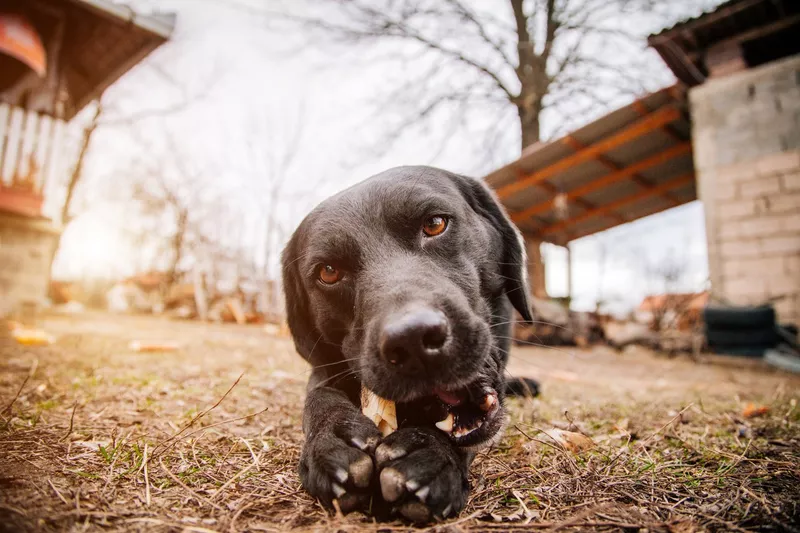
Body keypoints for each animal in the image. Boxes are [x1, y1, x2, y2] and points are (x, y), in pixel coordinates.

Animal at [282, 165, 536, 520]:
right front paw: (330, 438)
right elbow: (318, 394)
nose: (412, 339)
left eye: (435, 224)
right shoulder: (324, 368)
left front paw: (429, 451)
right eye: (328, 272)